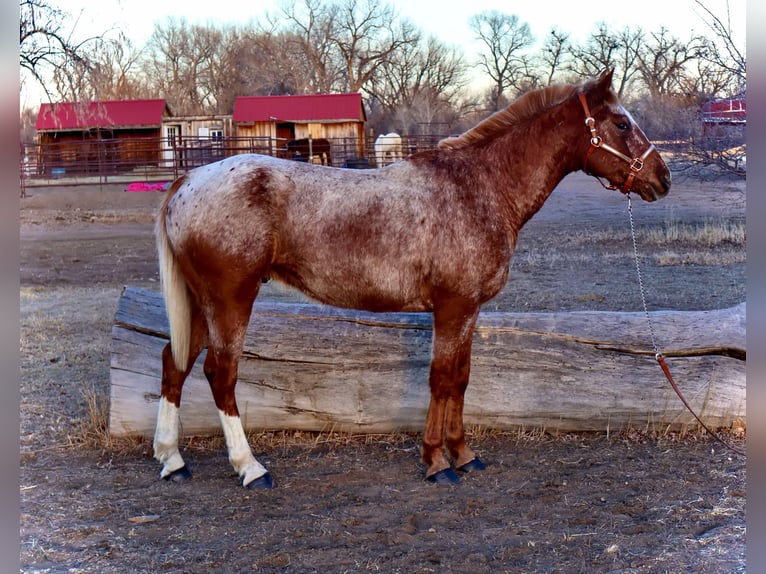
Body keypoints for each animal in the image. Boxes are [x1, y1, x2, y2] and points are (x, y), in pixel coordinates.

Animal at [153, 70, 670, 489]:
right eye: (621, 125)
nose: (663, 178)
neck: (479, 187)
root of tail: (187, 181)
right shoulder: (453, 307)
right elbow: (440, 380)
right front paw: (437, 462)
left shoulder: (469, 310)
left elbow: (460, 378)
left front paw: (464, 455)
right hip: (231, 301)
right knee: (221, 375)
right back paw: (250, 468)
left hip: (202, 304)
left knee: (173, 364)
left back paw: (172, 459)